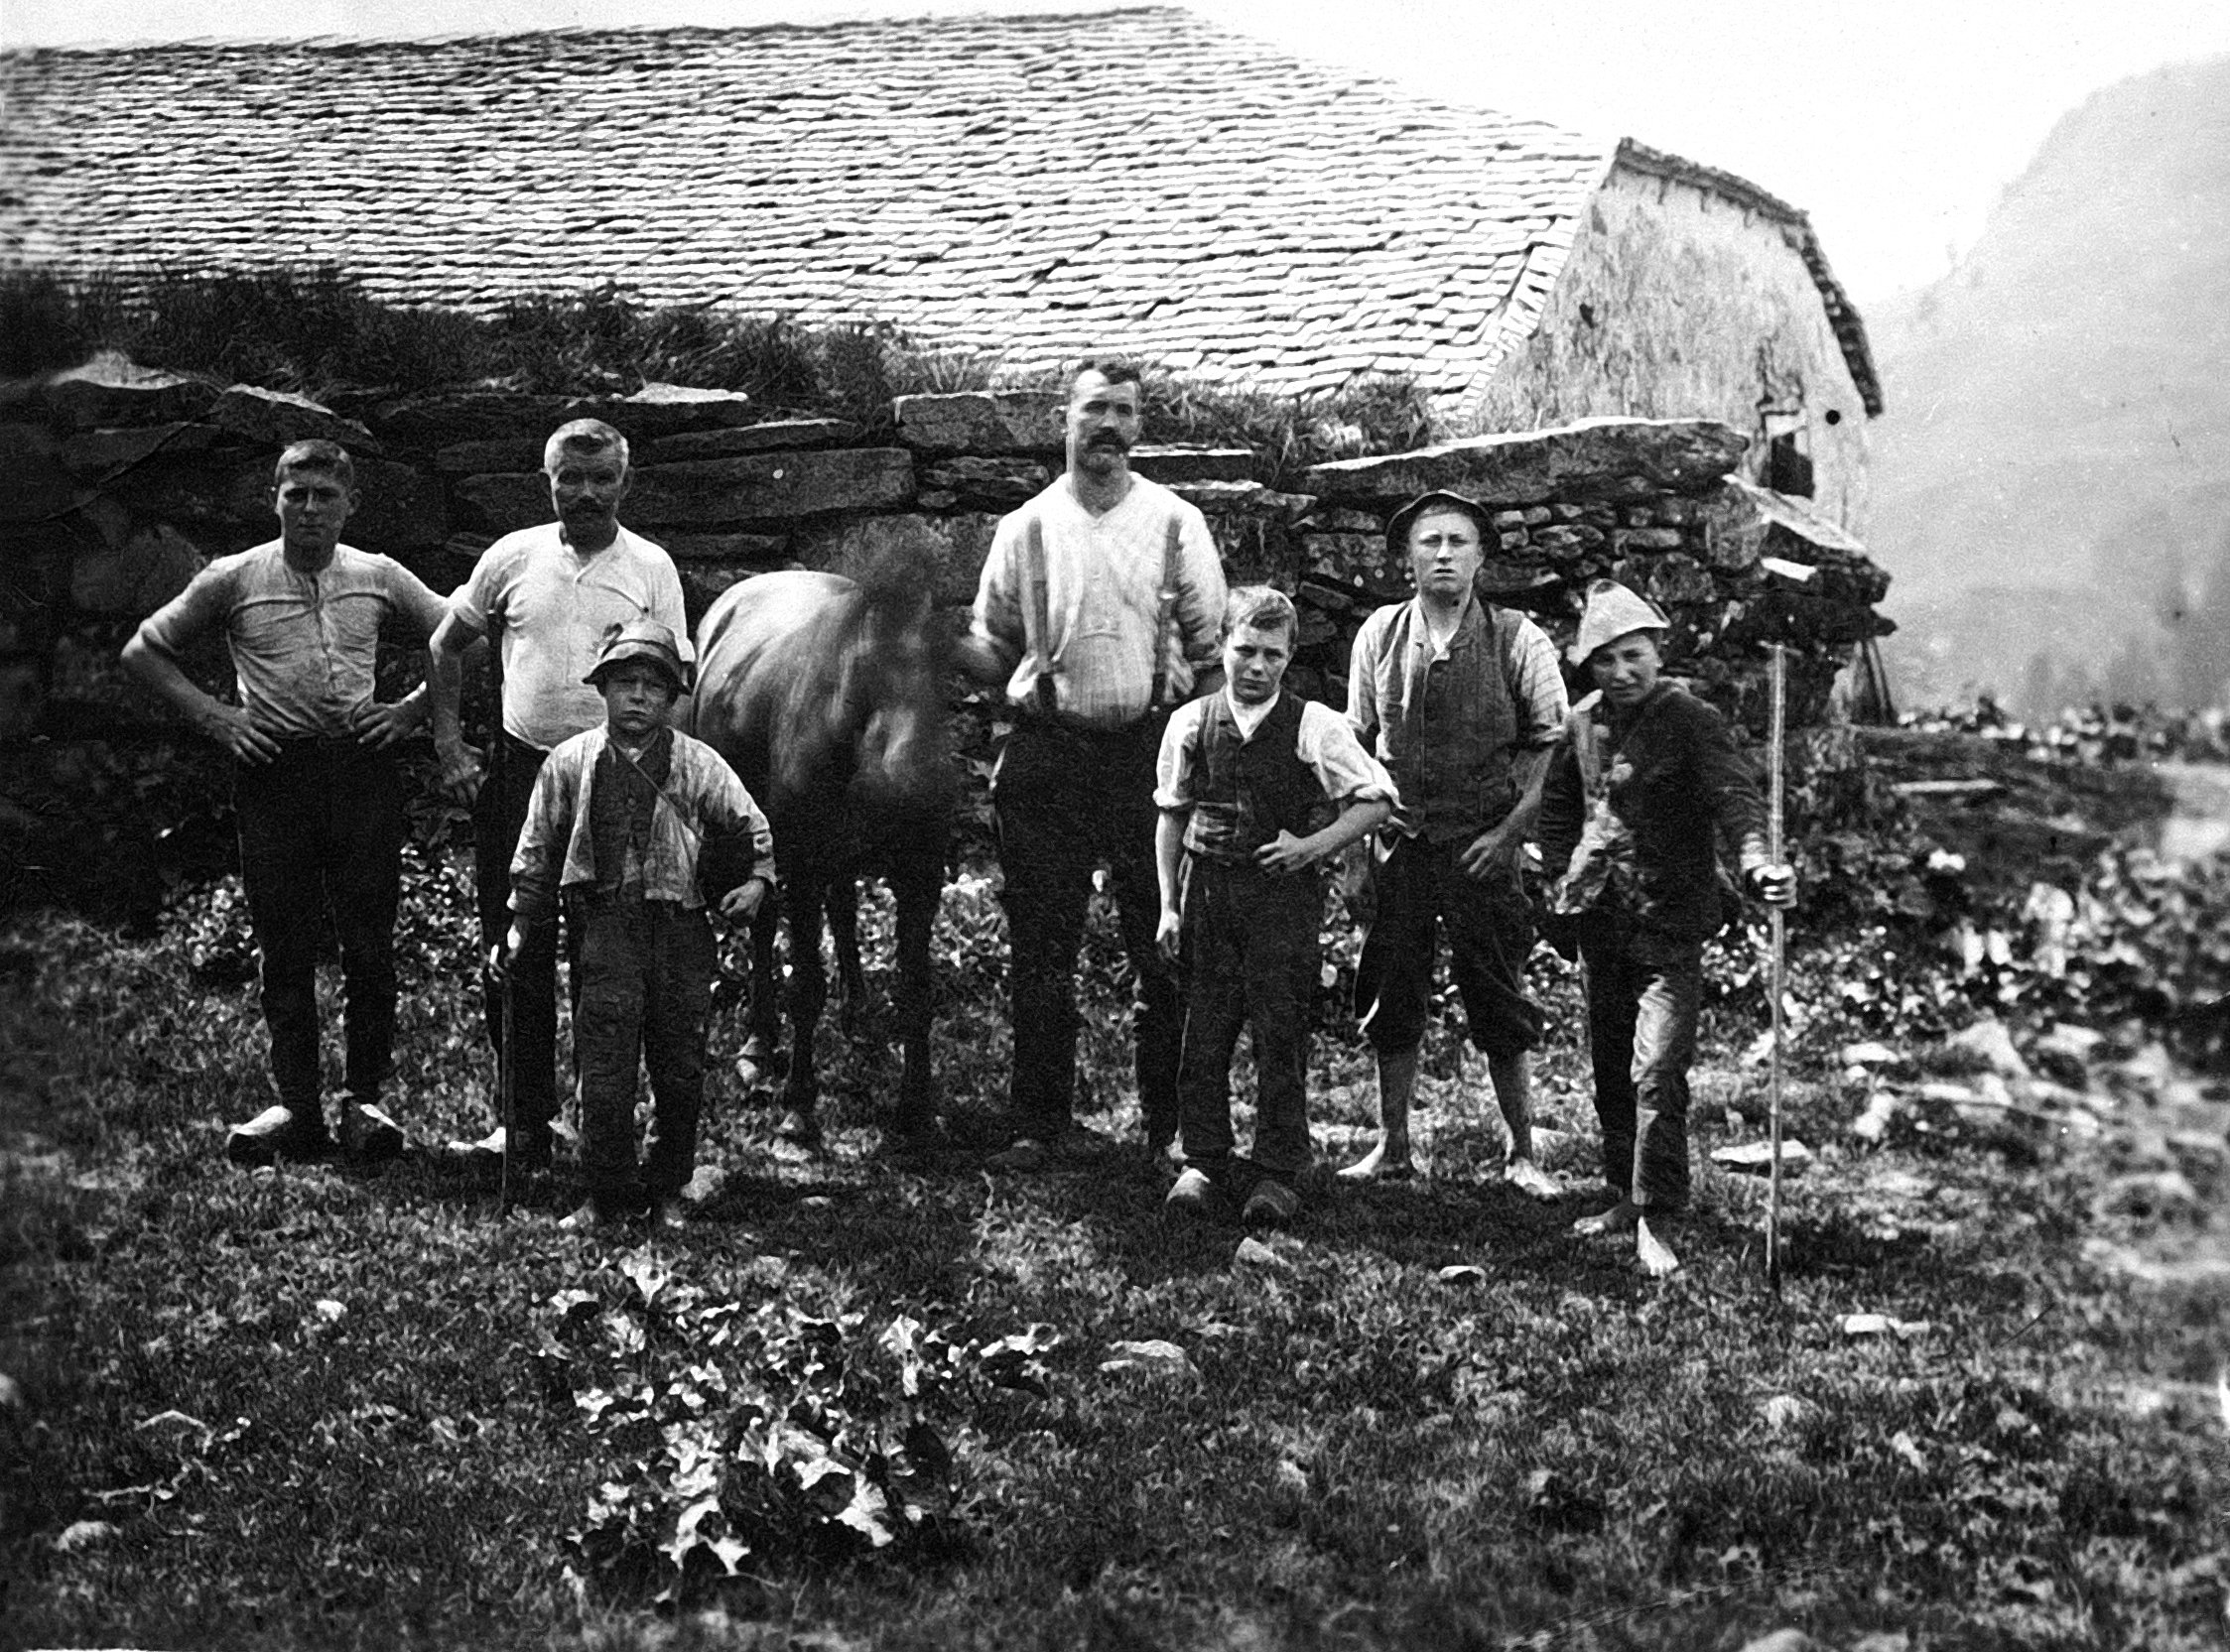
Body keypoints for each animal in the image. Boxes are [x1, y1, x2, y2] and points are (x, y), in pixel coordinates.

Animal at [689, 564, 954, 1147]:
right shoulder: (803, 865)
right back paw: (761, 1041)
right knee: (766, 924)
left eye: (944, 677)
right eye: (863, 678)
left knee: (844, 910)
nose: (920, 793)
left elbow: (916, 989)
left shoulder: (920, 876)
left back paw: (858, 1017)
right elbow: (805, 983)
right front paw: (799, 1105)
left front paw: (916, 1107)